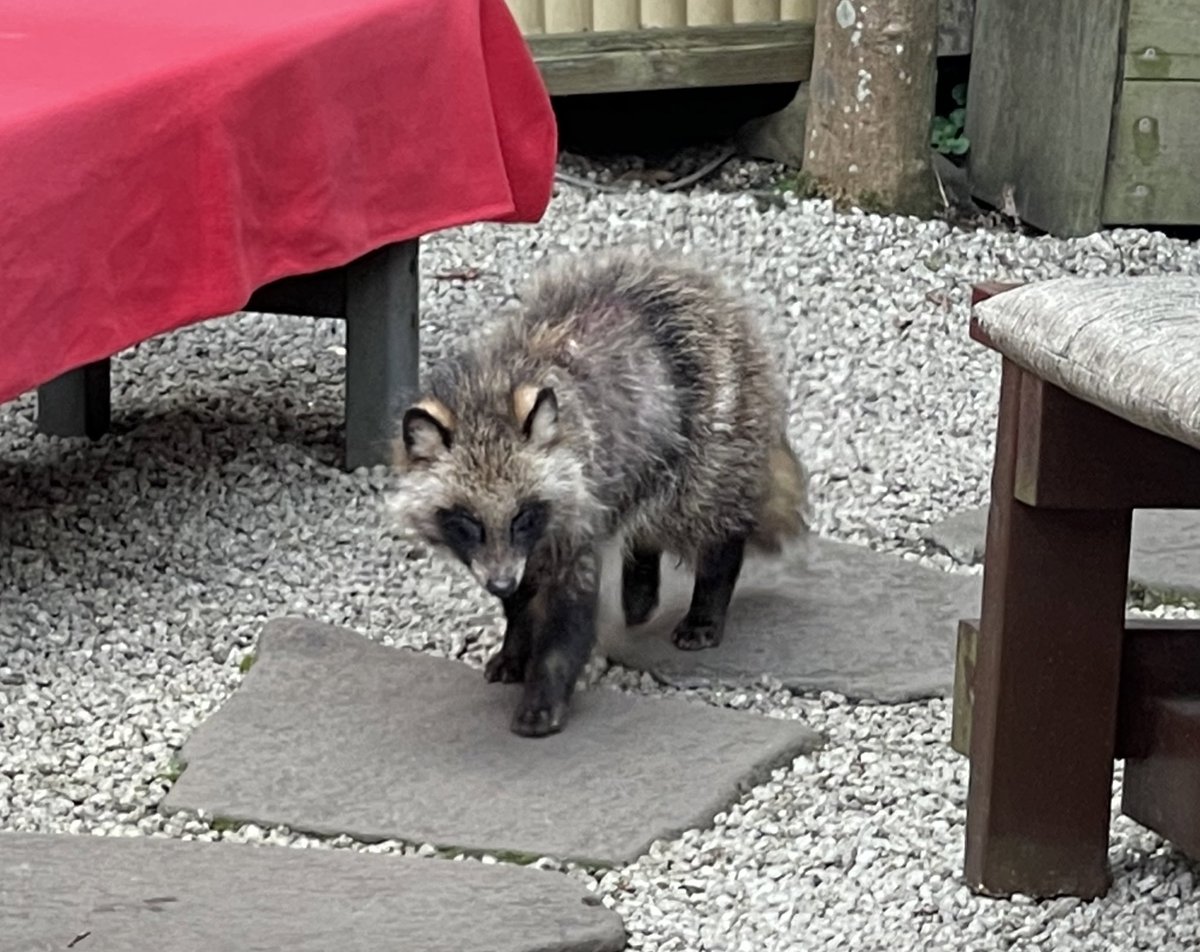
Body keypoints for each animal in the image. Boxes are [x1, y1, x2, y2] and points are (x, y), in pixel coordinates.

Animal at [391, 250, 806, 734]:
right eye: (467, 522)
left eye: (523, 516)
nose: (499, 583)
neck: (487, 395)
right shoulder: (521, 547)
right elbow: (523, 599)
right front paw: (516, 642)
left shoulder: (576, 513)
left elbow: (569, 610)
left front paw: (546, 687)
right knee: (644, 513)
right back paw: (641, 581)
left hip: (714, 427)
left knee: (702, 511)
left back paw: (710, 589)